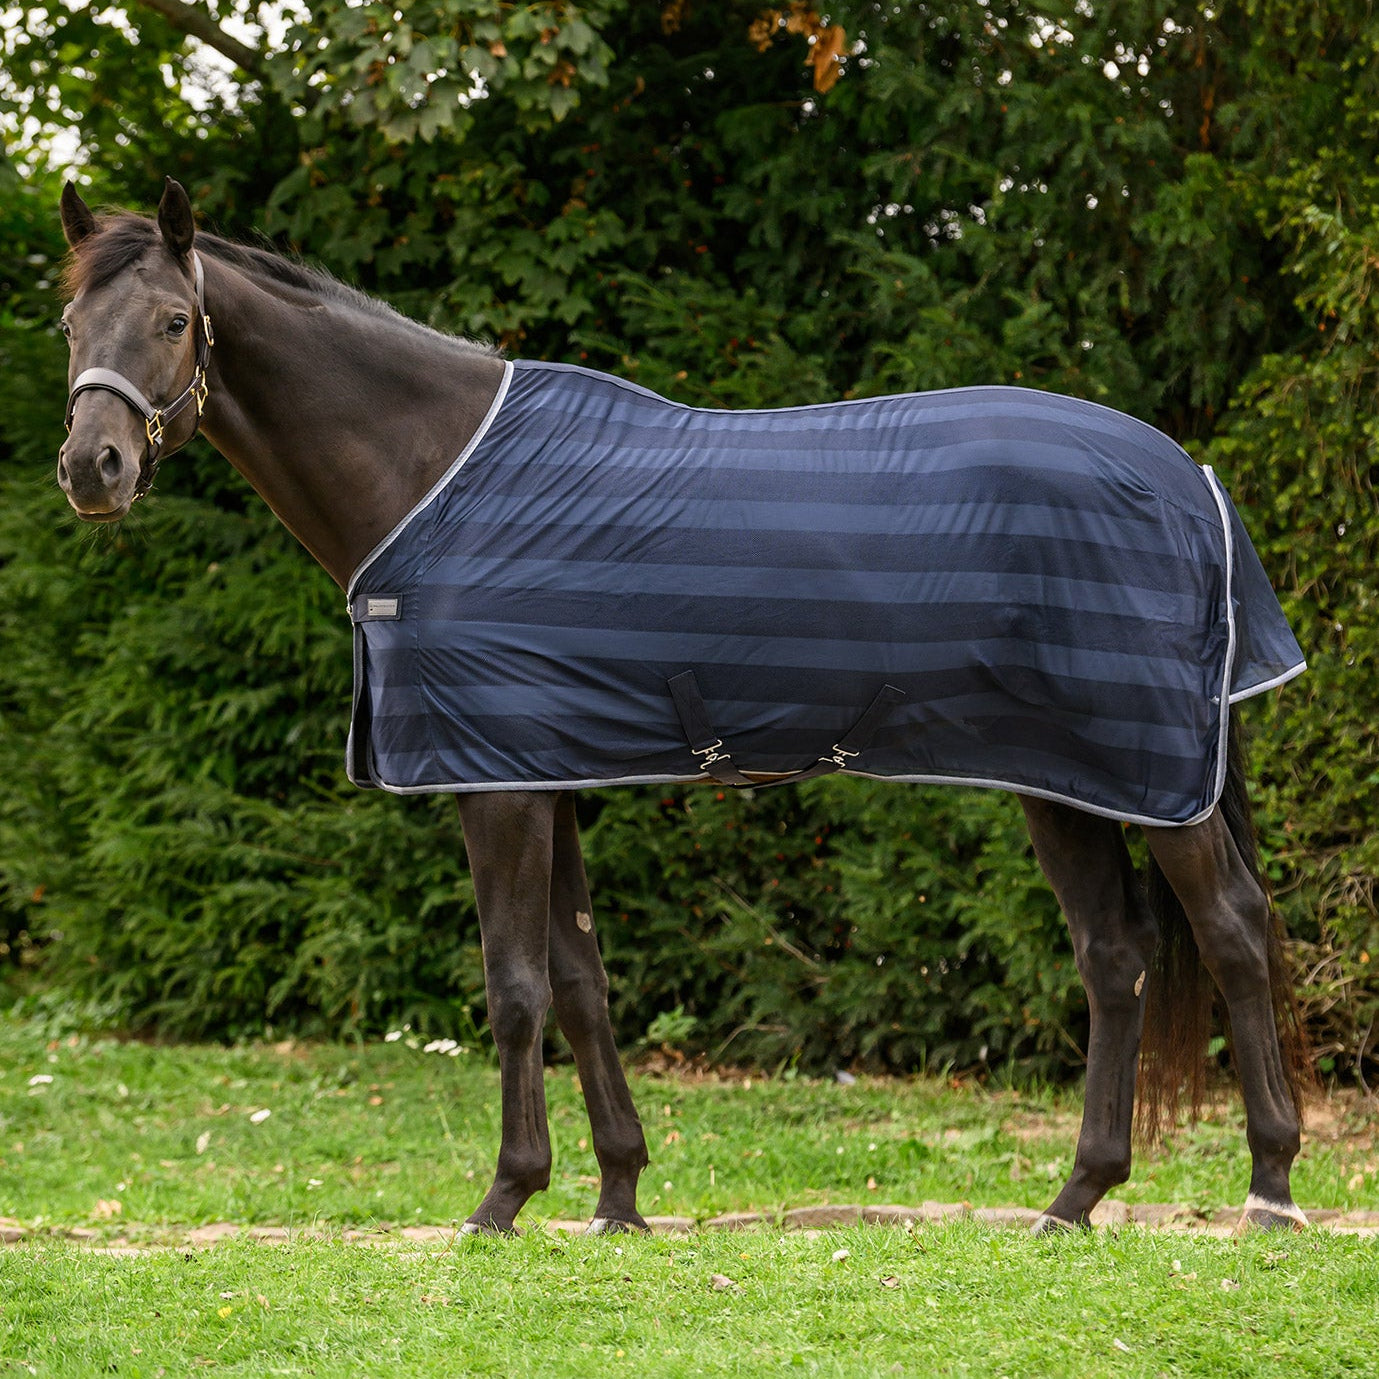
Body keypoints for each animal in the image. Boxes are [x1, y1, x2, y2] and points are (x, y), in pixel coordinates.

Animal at [55, 178, 1312, 1236]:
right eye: (71, 326)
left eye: (174, 320)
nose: (91, 468)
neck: (429, 471)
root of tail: (1191, 477)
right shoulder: (542, 767)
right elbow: (579, 981)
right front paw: (615, 1195)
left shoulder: (493, 782)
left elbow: (512, 987)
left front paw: (502, 1199)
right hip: (1058, 774)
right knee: (1113, 955)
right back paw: (1075, 1195)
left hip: (1146, 774)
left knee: (1232, 930)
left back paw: (1268, 1184)